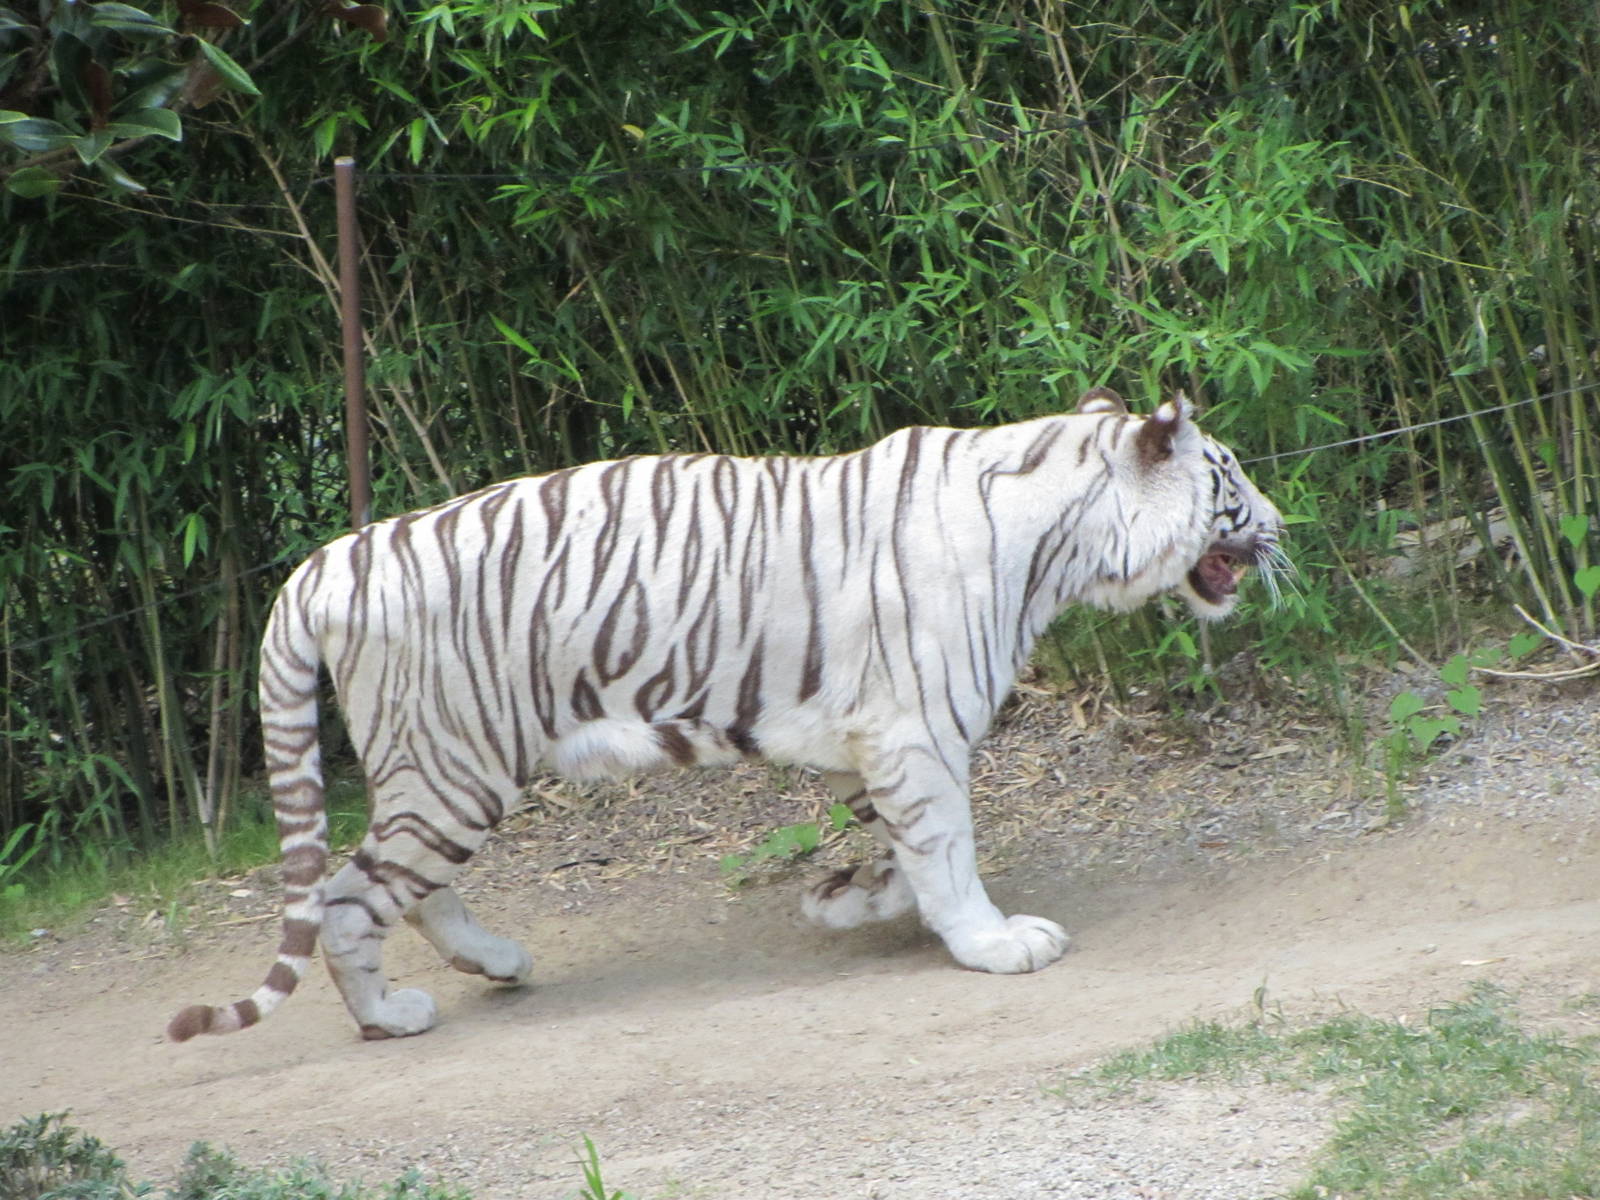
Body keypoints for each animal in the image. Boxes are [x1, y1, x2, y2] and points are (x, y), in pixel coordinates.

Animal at [167, 386, 1288, 1042]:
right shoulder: (916, 731)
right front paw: (991, 943)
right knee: (352, 896)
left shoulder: (870, 741)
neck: (1061, 539)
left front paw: (849, 901)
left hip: (444, 770)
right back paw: (391, 1016)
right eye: (1232, 481)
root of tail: (324, 561)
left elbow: (900, 846)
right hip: (451, 765)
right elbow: (948, 848)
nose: (1282, 526)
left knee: (403, 888)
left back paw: (498, 963)